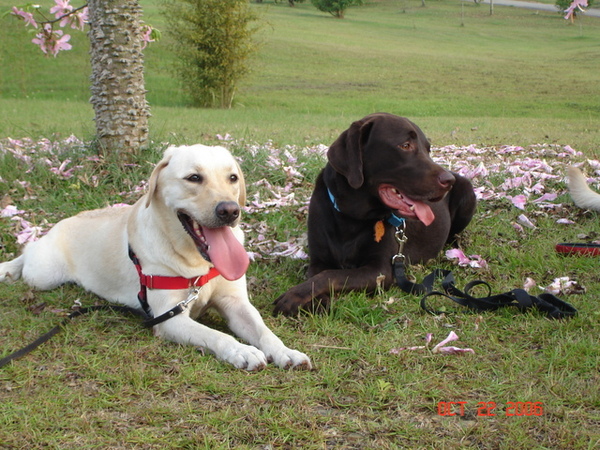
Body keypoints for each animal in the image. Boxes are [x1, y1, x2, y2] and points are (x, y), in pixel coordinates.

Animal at [2, 146, 314, 370]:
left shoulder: (236, 303)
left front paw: (285, 351)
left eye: (233, 178)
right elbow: (216, 334)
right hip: (44, 274)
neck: (196, 262)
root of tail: (63, 222)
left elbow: (264, 331)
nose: (230, 211)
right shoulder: (170, 318)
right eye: (194, 178)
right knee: (28, 253)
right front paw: (241, 350)